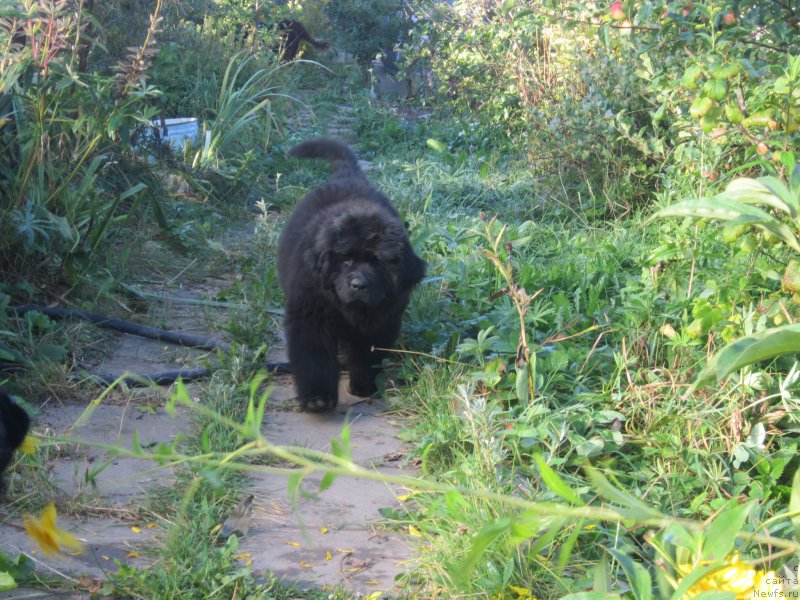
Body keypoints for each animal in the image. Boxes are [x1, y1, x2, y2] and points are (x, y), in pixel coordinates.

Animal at [278, 139, 424, 412]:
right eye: (345, 260)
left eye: (378, 263)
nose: (358, 284)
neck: (352, 309)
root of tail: (347, 176)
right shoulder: (311, 315)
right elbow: (314, 356)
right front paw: (317, 399)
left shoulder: (383, 320)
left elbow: (368, 354)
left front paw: (364, 384)